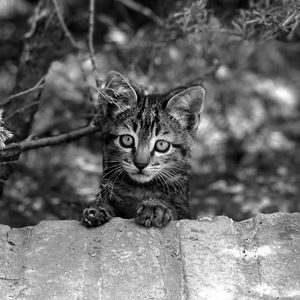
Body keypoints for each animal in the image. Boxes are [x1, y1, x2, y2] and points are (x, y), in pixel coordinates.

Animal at [81, 71, 205, 229]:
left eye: (161, 145)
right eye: (127, 140)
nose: (140, 164)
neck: (140, 188)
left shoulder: (185, 211)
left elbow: (175, 211)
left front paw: (155, 207)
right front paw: (97, 208)